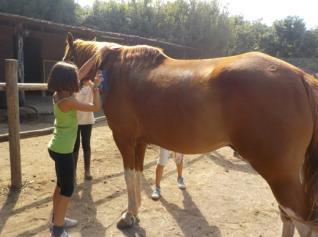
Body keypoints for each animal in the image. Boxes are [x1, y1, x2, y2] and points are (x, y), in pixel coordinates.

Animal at [62, 32, 318, 236]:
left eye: (67, 58)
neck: (118, 72)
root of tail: (302, 77)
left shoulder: (124, 139)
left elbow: (128, 176)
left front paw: (128, 216)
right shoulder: (140, 142)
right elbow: (136, 174)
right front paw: (134, 213)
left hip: (279, 175)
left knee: (302, 221)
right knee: (289, 217)